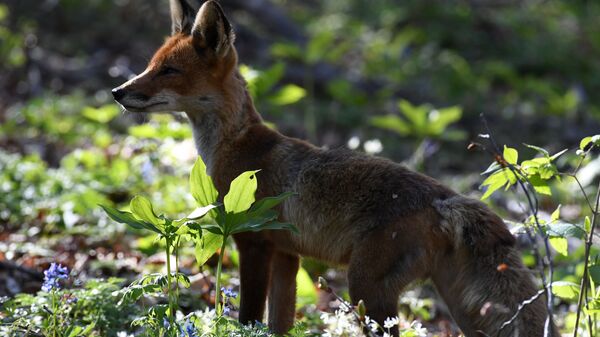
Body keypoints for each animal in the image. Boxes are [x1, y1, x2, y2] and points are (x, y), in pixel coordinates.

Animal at [111, 1, 556, 334]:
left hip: (367, 290)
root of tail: (447, 199)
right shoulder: (286, 255)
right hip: (458, 306)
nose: (117, 91)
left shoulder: (252, 242)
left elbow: (248, 319)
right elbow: (278, 323)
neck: (235, 147)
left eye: (169, 71)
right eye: (151, 64)